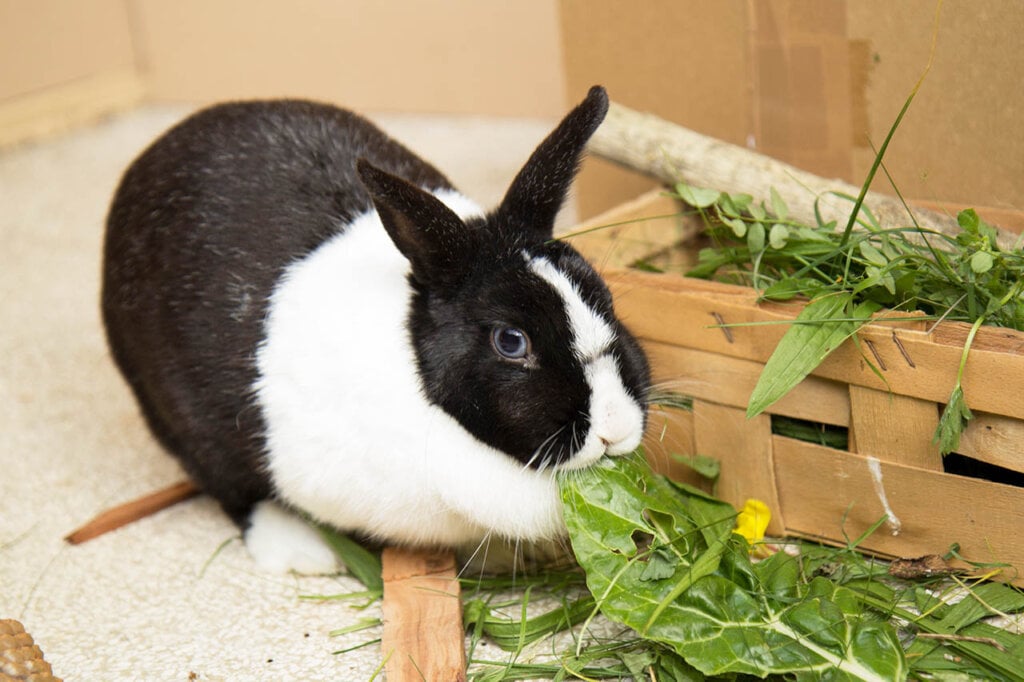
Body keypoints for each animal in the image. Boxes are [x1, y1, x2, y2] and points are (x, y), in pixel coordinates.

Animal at [101, 85, 650, 574]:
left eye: (604, 297)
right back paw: (300, 552)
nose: (615, 426)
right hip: (184, 420)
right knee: (234, 488)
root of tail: (150, 157)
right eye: (511, 341)